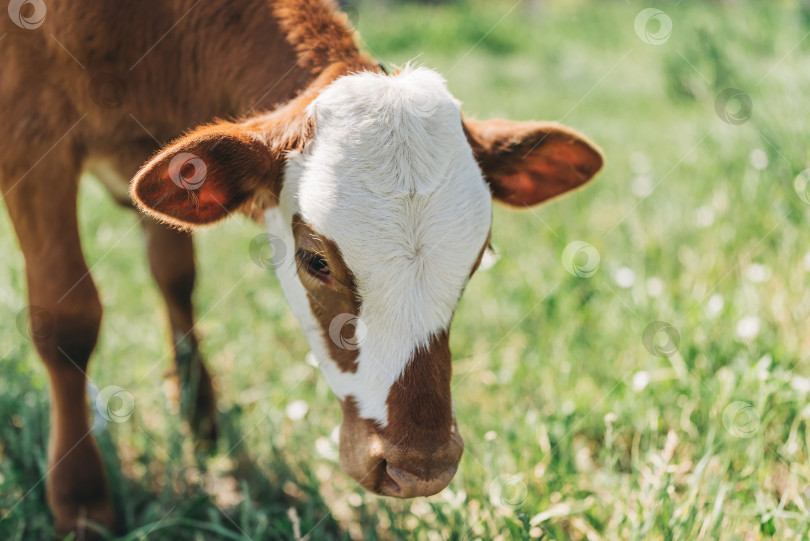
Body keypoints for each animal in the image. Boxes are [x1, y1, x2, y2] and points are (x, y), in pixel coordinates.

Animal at [0, 0, 600, 532]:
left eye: (477, 259)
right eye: (315, 260)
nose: (421, 468)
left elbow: (175, 276)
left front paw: (200, 416)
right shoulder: (30, 136)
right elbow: (68, 319)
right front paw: (81, 501)